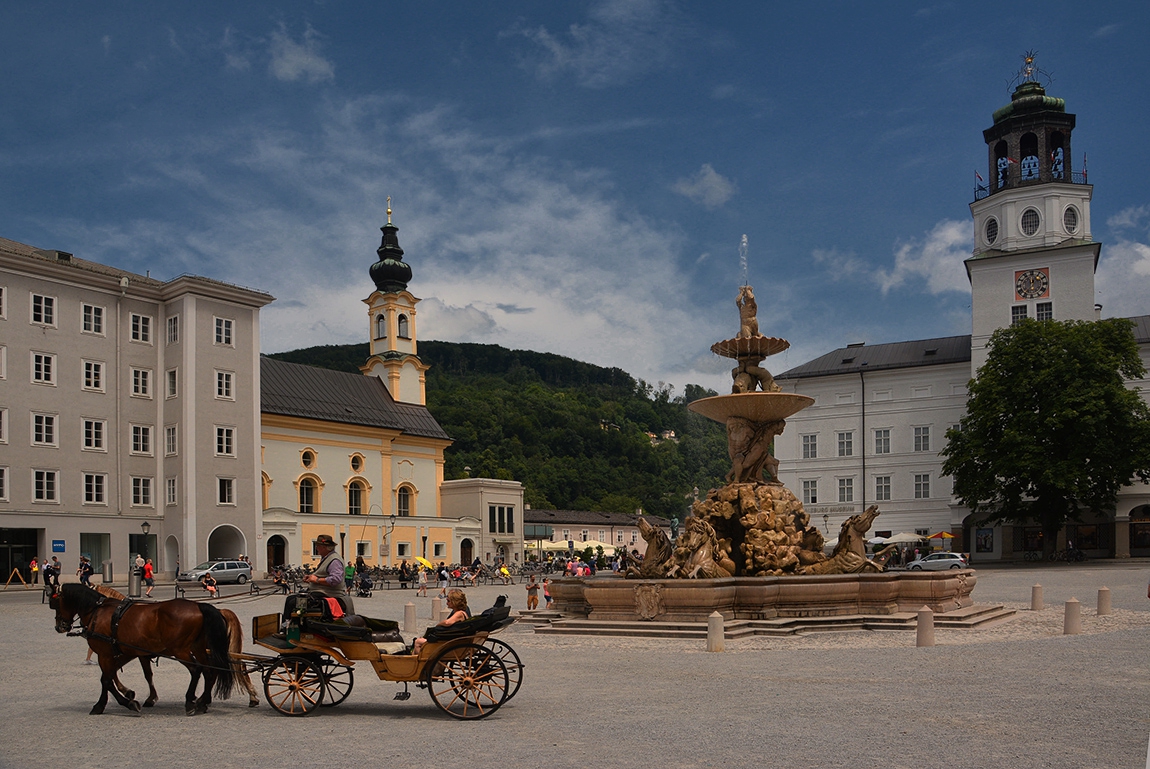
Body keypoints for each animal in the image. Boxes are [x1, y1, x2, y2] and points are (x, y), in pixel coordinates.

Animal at [51, 581, 235, 712]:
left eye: (55, 602)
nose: (59, 626)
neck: (98, 611)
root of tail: (198, 605)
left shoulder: (105, 654)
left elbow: (106, 680)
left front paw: (118, 703)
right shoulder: (127, 653)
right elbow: (120, 676)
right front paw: (129, 696)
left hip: (180, 650)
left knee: (196, 669)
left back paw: (191, 700)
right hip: (197, 647)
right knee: (208, 670)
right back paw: (203, 702)